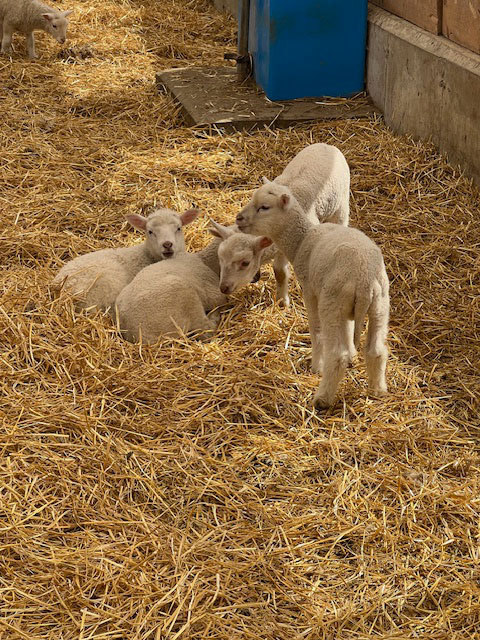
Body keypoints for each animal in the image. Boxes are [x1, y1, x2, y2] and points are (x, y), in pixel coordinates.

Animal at [243, 182, 390, 410]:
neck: (301, 239)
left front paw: (316, 366)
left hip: (332, 302)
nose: (238, 219)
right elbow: (349, 330)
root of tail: (364, 281)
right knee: (377, 350)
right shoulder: (346, 311)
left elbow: (316, 330)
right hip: (379, 304)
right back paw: (378, 391)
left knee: (337, 355)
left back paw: (322, 399)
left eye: (264, 207)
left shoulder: (310, 291)